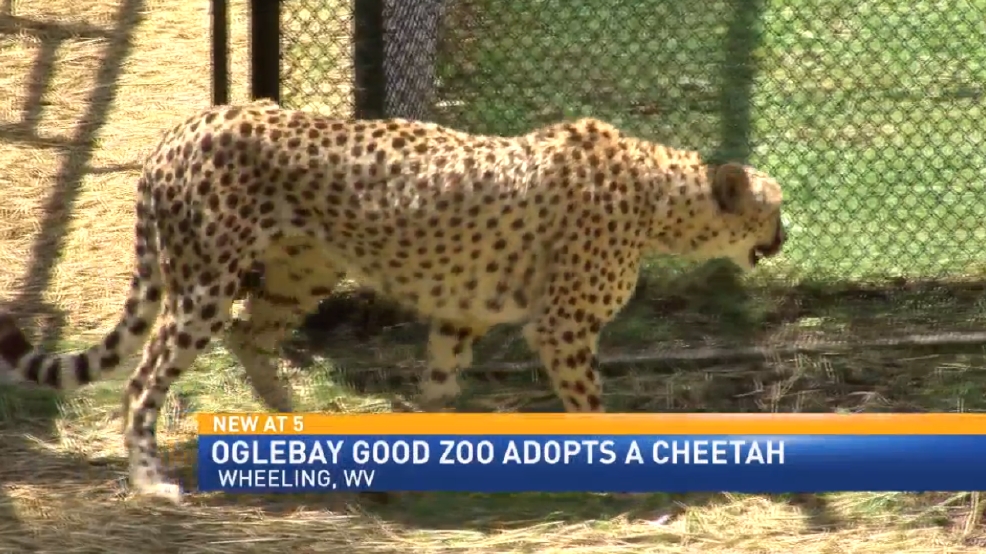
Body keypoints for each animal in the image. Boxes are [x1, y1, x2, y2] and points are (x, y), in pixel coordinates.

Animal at [0, 100, 786, 503]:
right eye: (773, 206)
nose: (785, 235)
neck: (662, 198)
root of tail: (191, 123)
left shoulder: (463, 314)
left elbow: (438, 385)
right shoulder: (563, 328)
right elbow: (591, 409)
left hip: (300, 271)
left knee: (251, 337)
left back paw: (297, 424)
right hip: (203, 286)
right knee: (144, 379)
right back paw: (148, 478)